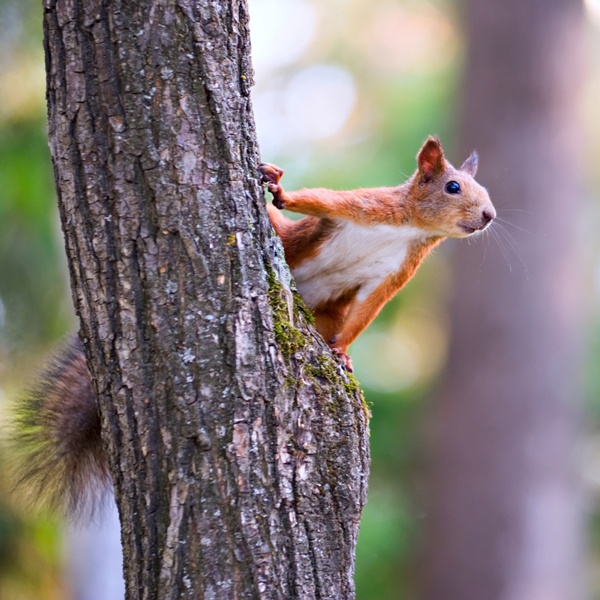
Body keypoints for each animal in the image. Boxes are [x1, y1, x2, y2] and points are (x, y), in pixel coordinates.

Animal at [260, 135, 494, 370]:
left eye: (485, 190)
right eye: (453, 187)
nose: (489, 215)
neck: (413, 229)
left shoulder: (396, 269)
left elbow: (368, 306)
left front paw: (342, 350)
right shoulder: (366, 205)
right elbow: (321, 199)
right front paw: (282, 193)